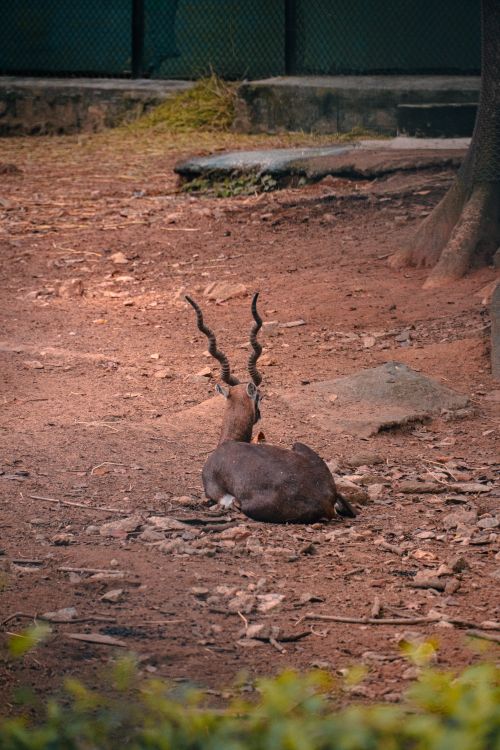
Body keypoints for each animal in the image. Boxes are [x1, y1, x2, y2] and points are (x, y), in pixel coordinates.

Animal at [185, 293, 356, 524]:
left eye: (261, 396)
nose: (259, 415)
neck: (229, 442)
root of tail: (325, 501)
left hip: (250, 506)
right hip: (300, 447)